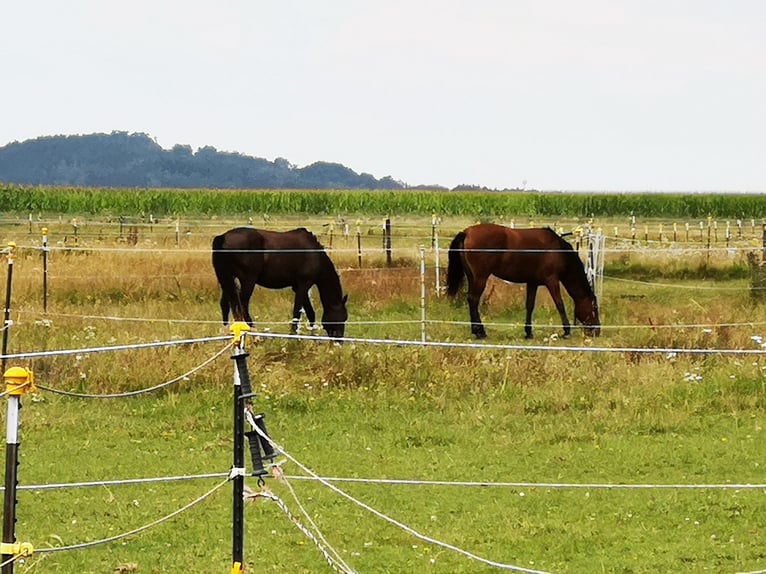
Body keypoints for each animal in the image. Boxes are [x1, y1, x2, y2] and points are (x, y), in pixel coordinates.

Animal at [213, 227, 352, 340]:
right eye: (342, 318)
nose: (339, 341)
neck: (315, 255)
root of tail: (223, 237)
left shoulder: (298, 287)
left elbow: (310, 313)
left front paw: (313, 338)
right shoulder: (303, 285)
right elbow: (297, 313)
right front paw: (293, 337)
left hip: (228, 279)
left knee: (226, 304)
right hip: (248, 281)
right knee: (242, 304)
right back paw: (254, 335)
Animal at [448, 224, 604, 342]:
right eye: (594, 308)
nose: (597, 331)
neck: (558, 251)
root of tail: (466, 233)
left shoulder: (532, 282)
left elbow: (530, 305)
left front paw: (528, 332)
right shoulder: (552, 281)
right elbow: (559, 304)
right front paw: (566, 331)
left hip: (472, 277)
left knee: (471, 300)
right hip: (480, 277)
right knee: (473, 300)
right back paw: (480, 332)